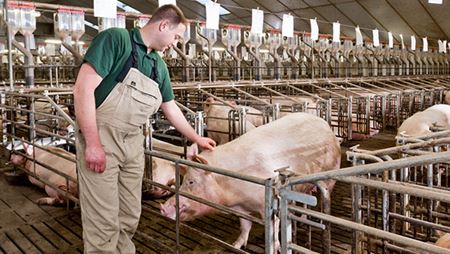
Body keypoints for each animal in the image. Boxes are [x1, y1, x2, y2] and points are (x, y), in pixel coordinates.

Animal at [160, 113, 340, 250]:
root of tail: (325, 125)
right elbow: (245, 227)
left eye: (191, 182)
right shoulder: (240, 208)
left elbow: (273, 230)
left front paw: (276, 247)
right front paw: (236, 245)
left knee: (324, 198)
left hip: (331, 175)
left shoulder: (271, 203)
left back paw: (318, 219)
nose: (163, 207)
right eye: (183, 180)